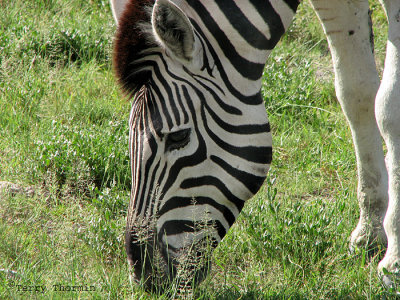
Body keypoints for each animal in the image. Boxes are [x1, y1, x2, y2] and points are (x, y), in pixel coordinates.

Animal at [109, 0, 400, 290]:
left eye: (179, 137)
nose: (145, 277)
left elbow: (388, 110)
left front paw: (393, 264)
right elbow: (356, 94)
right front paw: (370, 230)